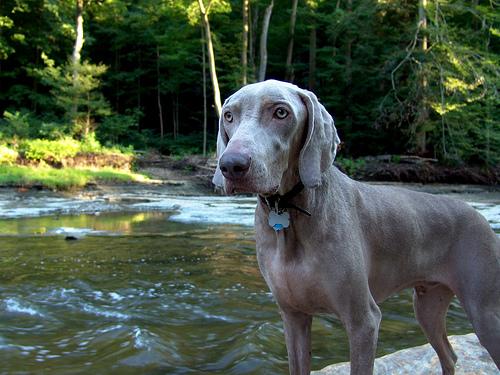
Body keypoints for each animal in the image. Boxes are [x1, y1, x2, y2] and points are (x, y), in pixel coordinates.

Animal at [212, 80, 500, 375]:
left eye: (281, 112)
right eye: (229, 115)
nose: (231, 165)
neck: (288, 212)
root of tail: (478, 215)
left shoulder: (363, 321)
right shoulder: (293, 316)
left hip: (484, 309)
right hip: (428, 303)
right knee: (448, 355)